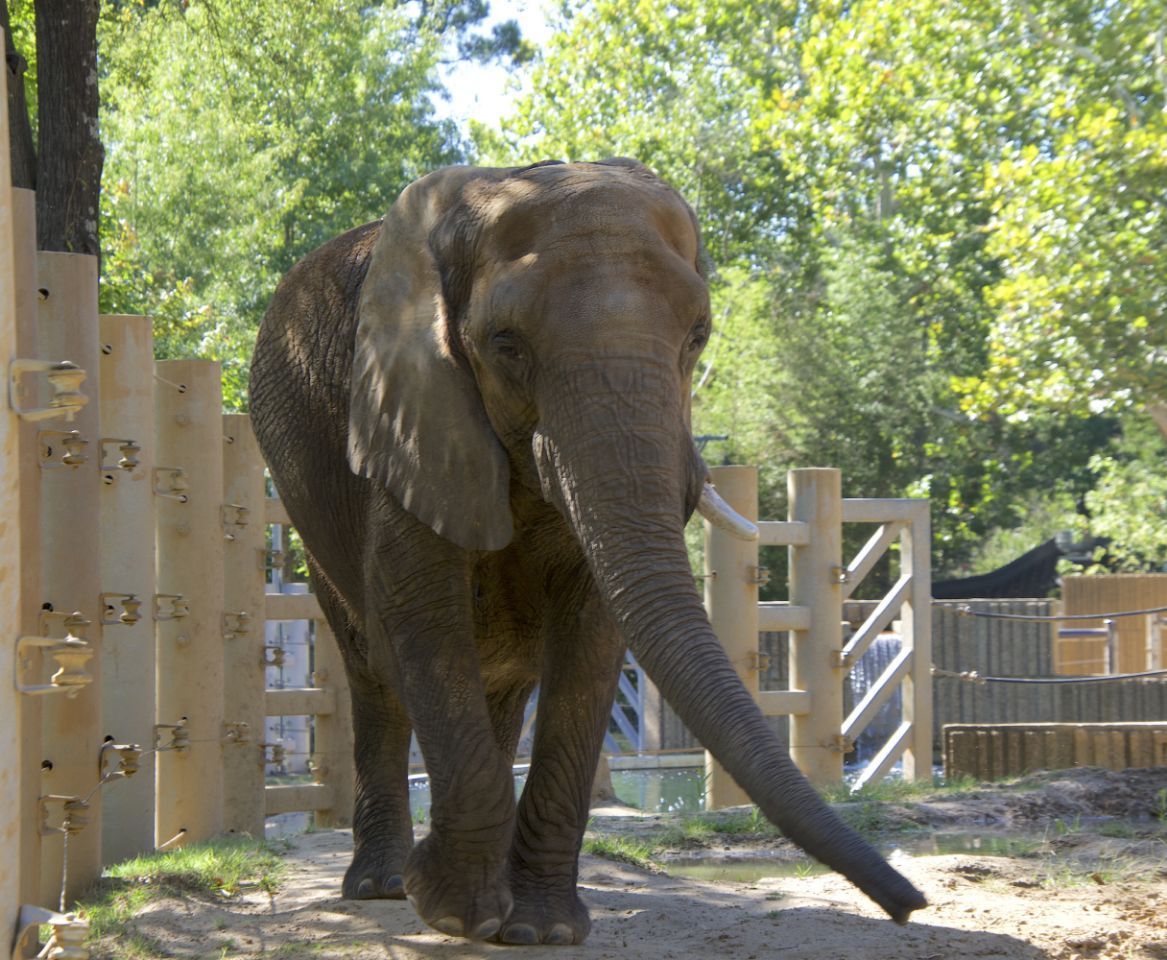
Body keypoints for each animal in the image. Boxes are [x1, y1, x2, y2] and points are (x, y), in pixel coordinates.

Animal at [249, 158, 926, 944]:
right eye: (505, 343)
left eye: (699, 334)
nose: (911, 904)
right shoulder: (406, 415)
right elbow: (419, 618)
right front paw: (451, 910)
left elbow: (593, 632)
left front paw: (538, 931)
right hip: (309, 501)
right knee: (374, 666)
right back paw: (383, 886)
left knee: (500, 673)